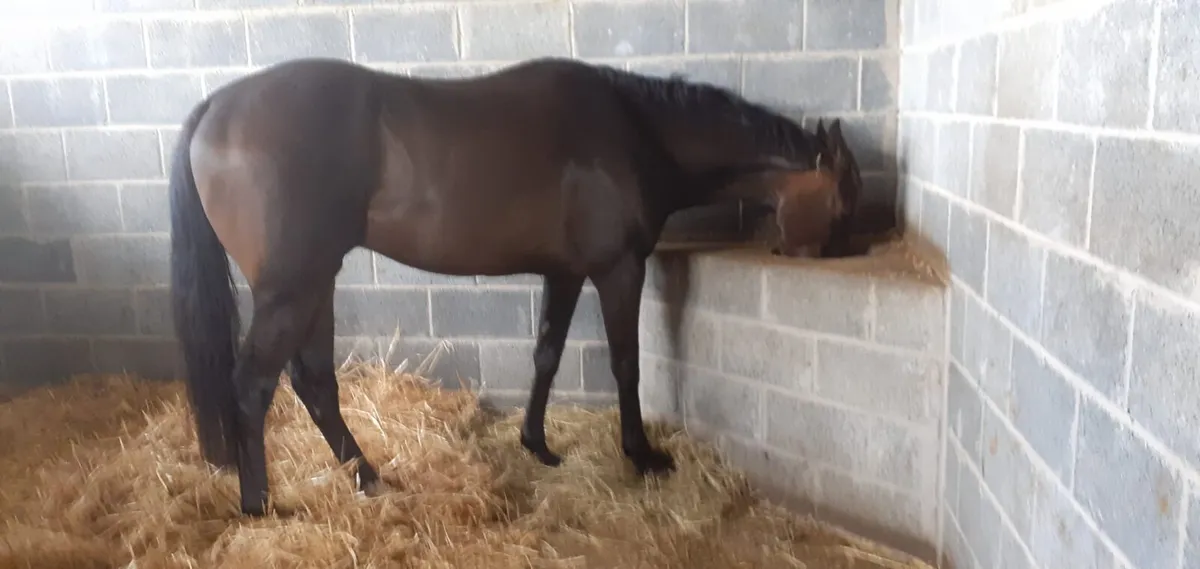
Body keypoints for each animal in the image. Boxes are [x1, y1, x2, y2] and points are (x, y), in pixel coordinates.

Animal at [168, 56, 864, 516]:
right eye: (844, 199)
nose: (845, 254)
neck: (634, 130)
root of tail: (216, 108)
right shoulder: (618, 269)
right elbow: (626, 363)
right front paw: (641, 455)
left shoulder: (565, 272)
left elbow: (547, 354)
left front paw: (538, 445)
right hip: (294, 287)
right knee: (254, 386)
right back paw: (260, 505)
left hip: (317, 282)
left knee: (313, 383)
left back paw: (369, 479)